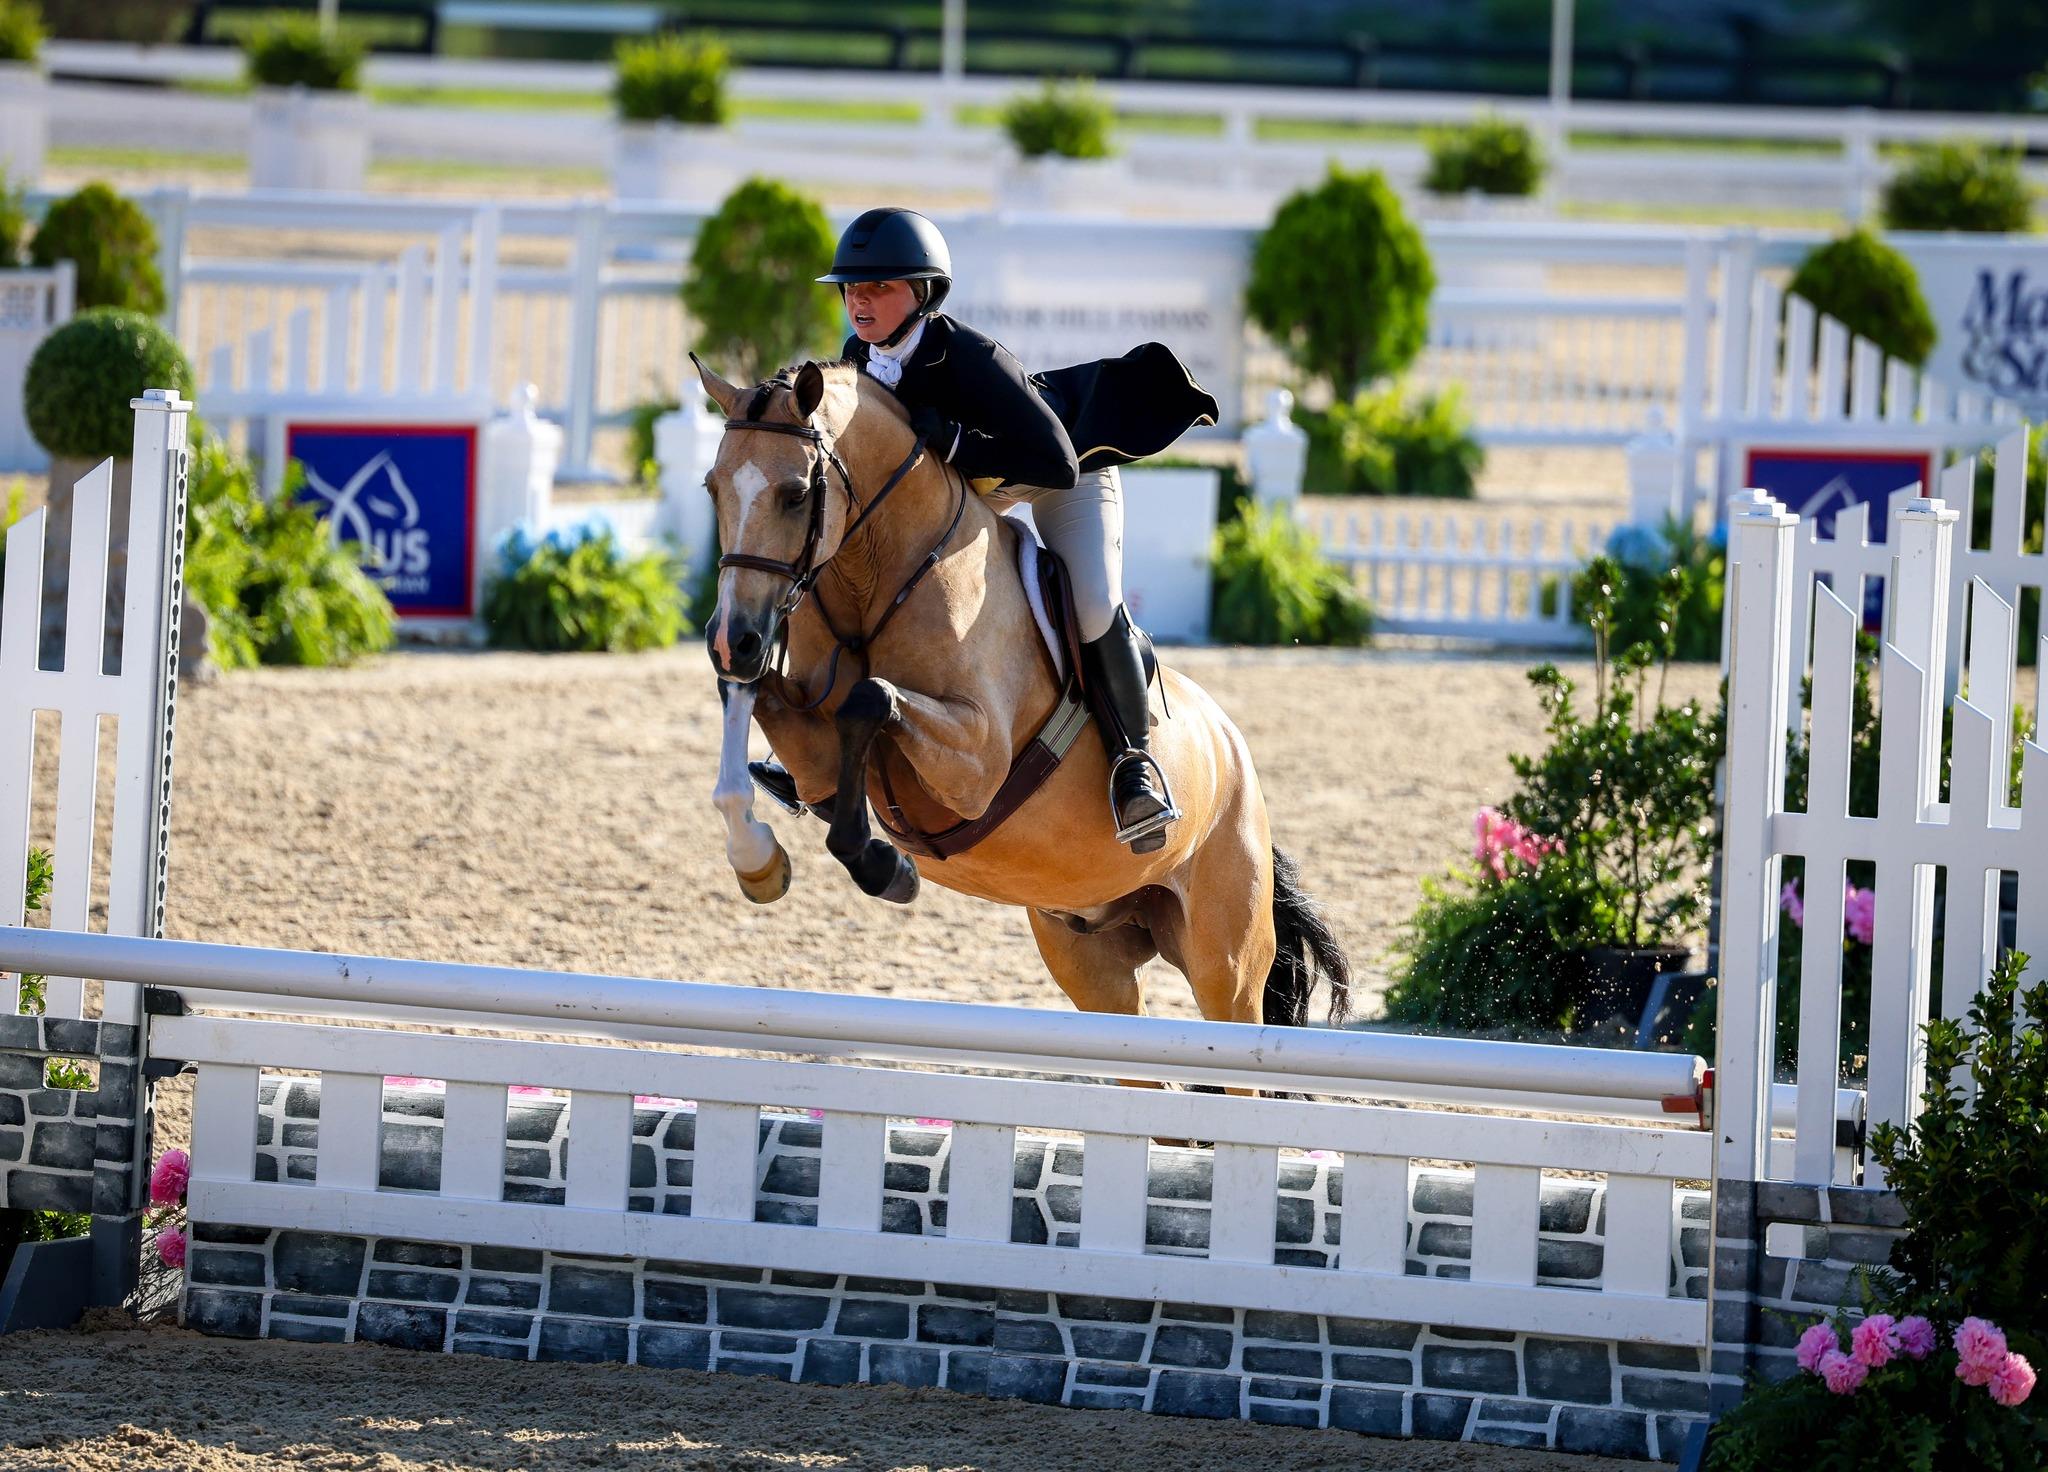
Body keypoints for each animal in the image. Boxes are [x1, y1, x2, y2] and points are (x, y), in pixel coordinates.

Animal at [695, 356, 1349, 1033]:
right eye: (713, 489)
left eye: (796, 494)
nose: (732, 638)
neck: (872, 576)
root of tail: (1230, 745)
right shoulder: (805, 722)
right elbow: (754, 707)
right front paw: (757, 861)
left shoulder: (976, 764)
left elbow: (870, 701)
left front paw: (883, 866)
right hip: (1090, 953)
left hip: (1226, 964)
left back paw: (1139, 793)